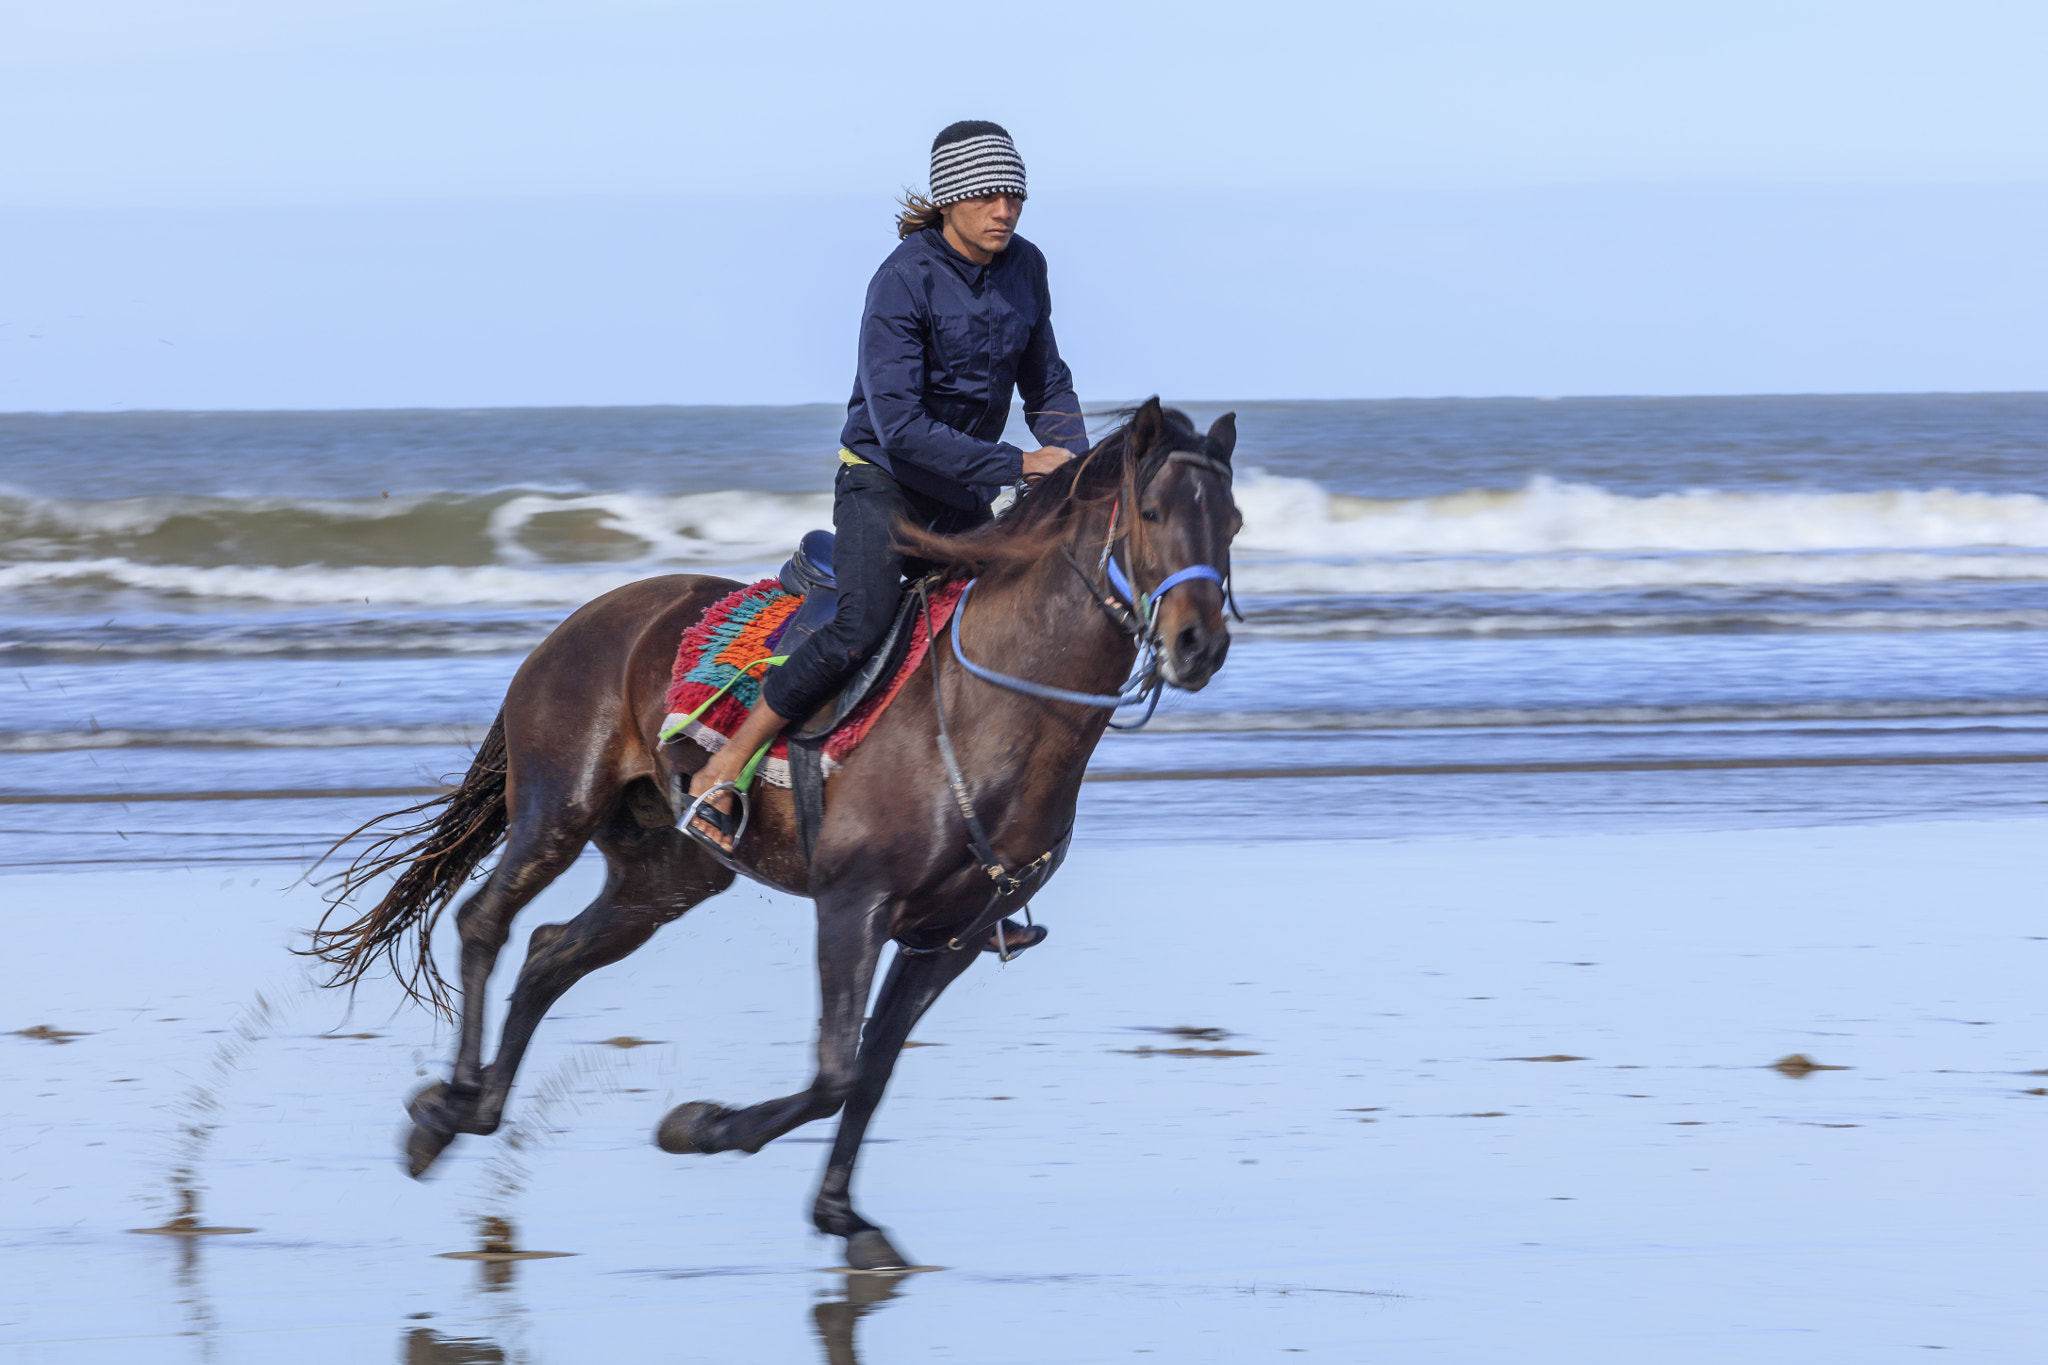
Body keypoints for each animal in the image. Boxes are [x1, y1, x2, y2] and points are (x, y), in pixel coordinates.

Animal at [303, 394, 1228, 1268]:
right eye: (1151, 511)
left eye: (1232, 521)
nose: (1198, 643)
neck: (994, 702)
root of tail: (580, 622)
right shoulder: (854, 905)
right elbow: (836, 1072)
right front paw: (700, 1125)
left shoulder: (950, 938)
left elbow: (872, 1072)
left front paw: (843, 1216)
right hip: (557, 809)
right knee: (484, 922)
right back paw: (450, 1106)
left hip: (667, 873)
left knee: (549, 953)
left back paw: (478, 1108)